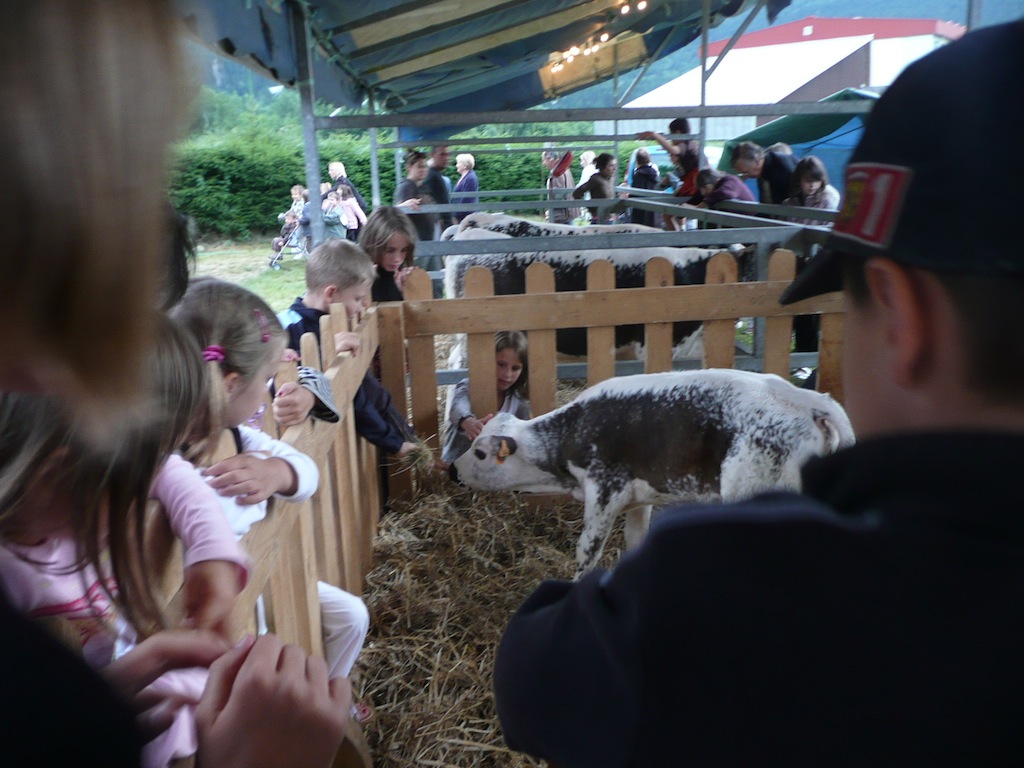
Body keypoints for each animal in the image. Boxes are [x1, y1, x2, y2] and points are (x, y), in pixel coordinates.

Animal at [456, 370, 856, 581]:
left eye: (480, 452)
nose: (454, 470)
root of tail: (814, 405)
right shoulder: (639, 499)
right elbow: (635, 540)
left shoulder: (605, 491)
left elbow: (587, 550)